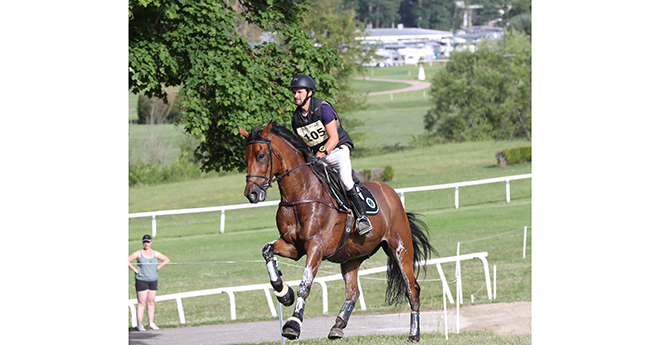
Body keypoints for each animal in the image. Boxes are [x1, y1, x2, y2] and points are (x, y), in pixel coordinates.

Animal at [238, 121, 438, 342]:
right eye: (245, 157)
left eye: (261, 155)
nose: (252, 193)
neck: (300, 194)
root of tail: (391, 193)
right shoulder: (292, 246)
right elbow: (267, 251)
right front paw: (284, 293)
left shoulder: (316, 247)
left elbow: (305, 285)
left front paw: (293, 324)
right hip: (352, 257)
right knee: (353, 292)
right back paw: (337, 327)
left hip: (400, 249)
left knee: (412, 289)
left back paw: (414, 334)